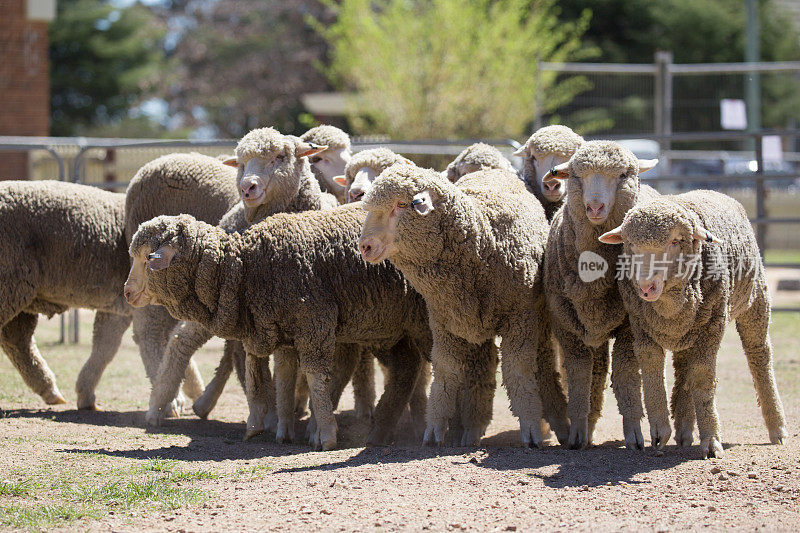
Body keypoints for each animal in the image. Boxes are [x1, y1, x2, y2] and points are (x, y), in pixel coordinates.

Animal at [0, 179, 133, 408]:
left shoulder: (119, 305)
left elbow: (106, 344)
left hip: (19, 291)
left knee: (17, 340)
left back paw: (51, 392)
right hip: (10, 282)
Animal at [126, 204, 434, 448]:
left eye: (145, 257)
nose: (127, 292)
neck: (244, 268)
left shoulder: (313, 323)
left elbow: (314, 377)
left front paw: (326, 435)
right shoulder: (274, 330)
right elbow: (273, 379)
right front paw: (275, 429)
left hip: (417, 320)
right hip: (389, 327)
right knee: (407, 367)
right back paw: (385, 430)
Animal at [360, 164, 572, 446]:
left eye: (402, 204)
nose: (365, 246)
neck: (482, 242)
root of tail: (491, 169)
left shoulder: (519, 317)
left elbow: (518, 371)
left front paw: (530, 428)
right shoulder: (443, 322)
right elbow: (445, 371)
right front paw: (434, 429)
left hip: (535, 315)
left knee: (543, 363)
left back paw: (557, 423)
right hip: (474, 322)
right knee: (483, 366)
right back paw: (473, 428)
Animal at [544, 140, 664, 448]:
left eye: (622, 175)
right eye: (577, 175)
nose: (594, 206)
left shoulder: (630, 326)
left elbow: (626, 375)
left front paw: (634, 433)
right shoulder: (566, 325)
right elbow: (578, 375)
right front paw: (576, 431)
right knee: (595, 374)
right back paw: (587, 428)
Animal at [600, 191, 788, 458]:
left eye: (676, 241)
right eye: (630, 244)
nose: (646, 286)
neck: (668, 308)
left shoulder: (712, 327)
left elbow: (701, 376)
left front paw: (711, 440)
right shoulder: (642, 327)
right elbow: (652, 370)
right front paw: (660, 430)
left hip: (755, 301)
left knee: (760, 357)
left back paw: (777, 428)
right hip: (688, 332)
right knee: (684, 369)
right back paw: (684, 431)